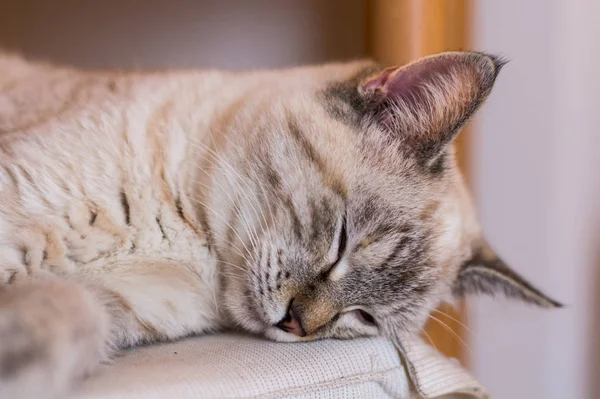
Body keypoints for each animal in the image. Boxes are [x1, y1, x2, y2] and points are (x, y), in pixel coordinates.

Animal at [0, 51, 556, 398]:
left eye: (365, 319)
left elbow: (69, 319)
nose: (297, 324)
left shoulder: (101, 299)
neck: (194, 247)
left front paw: (21, 367)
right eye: (341, 242)